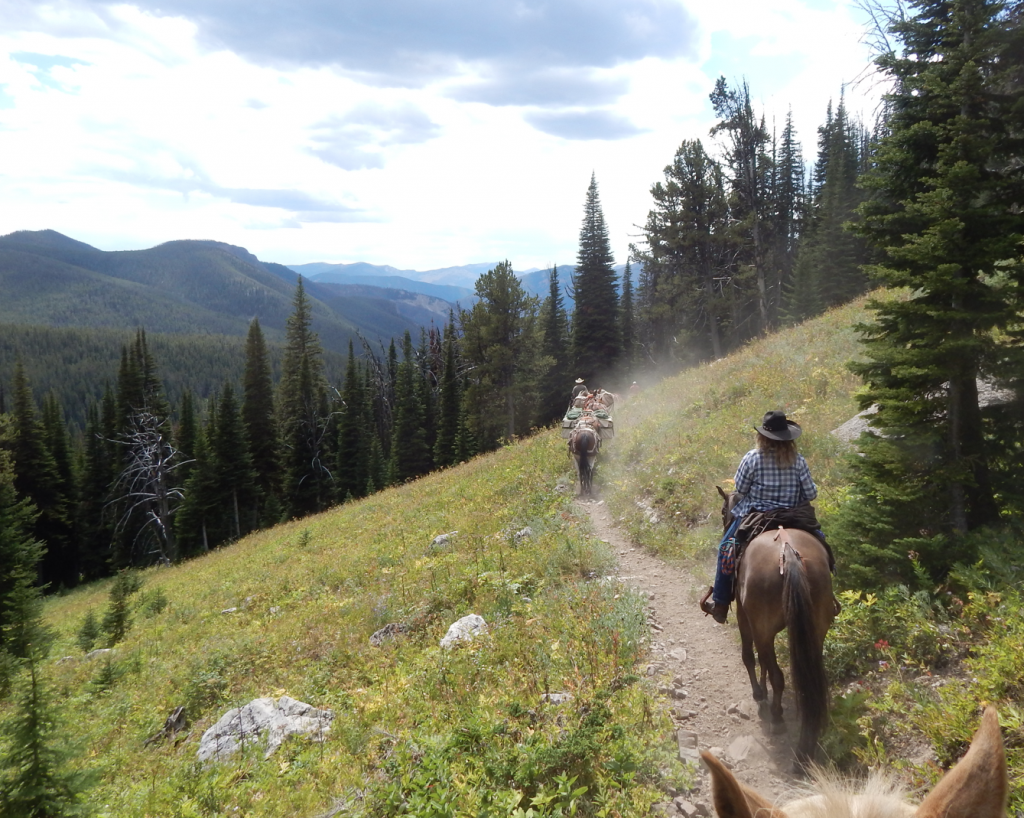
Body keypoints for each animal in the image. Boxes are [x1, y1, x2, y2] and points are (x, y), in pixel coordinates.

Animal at [716, 493, 835, 769]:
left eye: (724, 511)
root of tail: (788, 553)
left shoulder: (745, 617)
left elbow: (751, 658)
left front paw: (760, 695)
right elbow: (764, 662)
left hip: (762, 626)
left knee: (775, 672)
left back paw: (777, 717)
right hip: (816, 629)